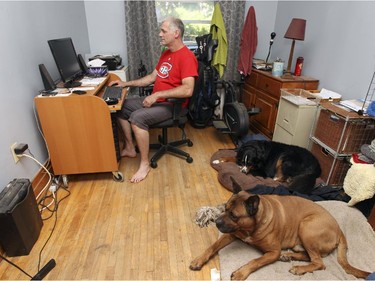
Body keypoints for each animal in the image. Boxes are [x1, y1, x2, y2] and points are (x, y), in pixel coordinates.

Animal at [189, 177, 372, 278]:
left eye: (234, 216)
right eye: (225, 209)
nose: (217, 223)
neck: (254, 225)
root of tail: (339, 230)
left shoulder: (273, 252)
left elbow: (255, 261)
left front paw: (241, 273)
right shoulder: (232, 234)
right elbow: (212, 246)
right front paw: (199, 259)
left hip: (306, 227)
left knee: (319, 263)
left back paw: (298, 269)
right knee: (310, 257)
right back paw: (289, 256)